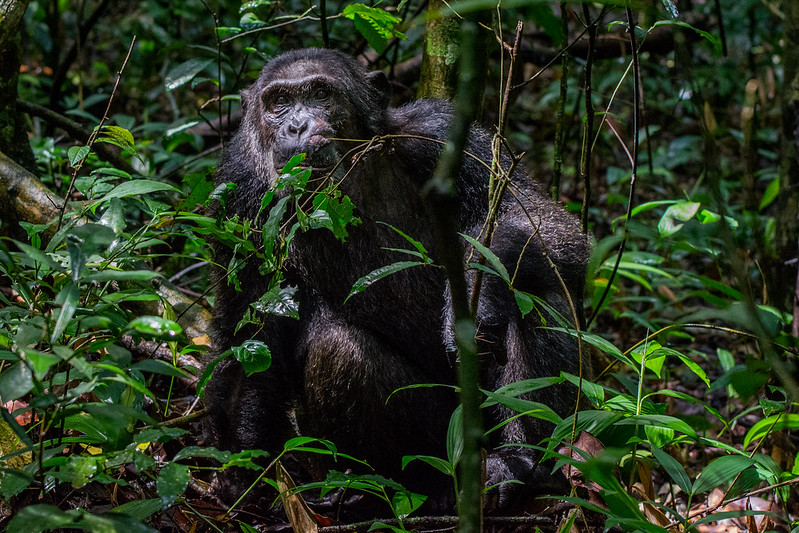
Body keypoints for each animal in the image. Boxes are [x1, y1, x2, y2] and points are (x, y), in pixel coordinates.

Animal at [205, 48, 592, 512]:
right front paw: (238, 474)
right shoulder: (239, 196)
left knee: (536, 288)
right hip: (441, 438)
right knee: (339, 351)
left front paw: (480, 298)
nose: (296, 125)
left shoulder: (443, 134)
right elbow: (249, 339)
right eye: (278, 101)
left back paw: (519, 463)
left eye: (320, 94)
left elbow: (537, 219)